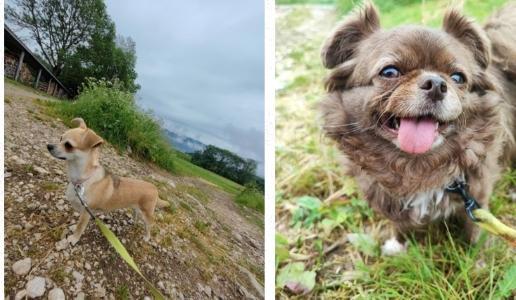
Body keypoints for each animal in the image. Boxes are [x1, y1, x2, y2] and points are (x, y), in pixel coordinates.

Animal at [320, 3, 512, 254]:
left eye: (457, 77)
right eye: (389, 72)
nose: (437, 84)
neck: (417, 165)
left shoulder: (475, 193)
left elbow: (476, 224)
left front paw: (480, 254)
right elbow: (400, 223)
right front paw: (398, 244)